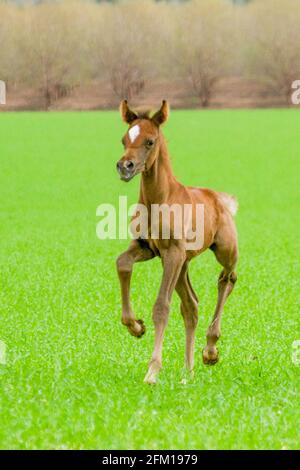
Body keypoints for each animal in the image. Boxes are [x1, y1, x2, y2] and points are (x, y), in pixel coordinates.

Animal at [116, 101, 238, 384]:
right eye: (124, 139)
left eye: (149, 141)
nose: (125, 166)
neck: (160, 199)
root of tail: (221, 199)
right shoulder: (147, 248)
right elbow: (122, 263)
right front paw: (135, 327)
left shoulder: (172, 253)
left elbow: (162, 306)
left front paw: (152, 371)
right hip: (183, 264)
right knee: (191, 306)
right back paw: (188, 371)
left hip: (223, 251)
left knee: (227, 278)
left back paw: (210, 350)